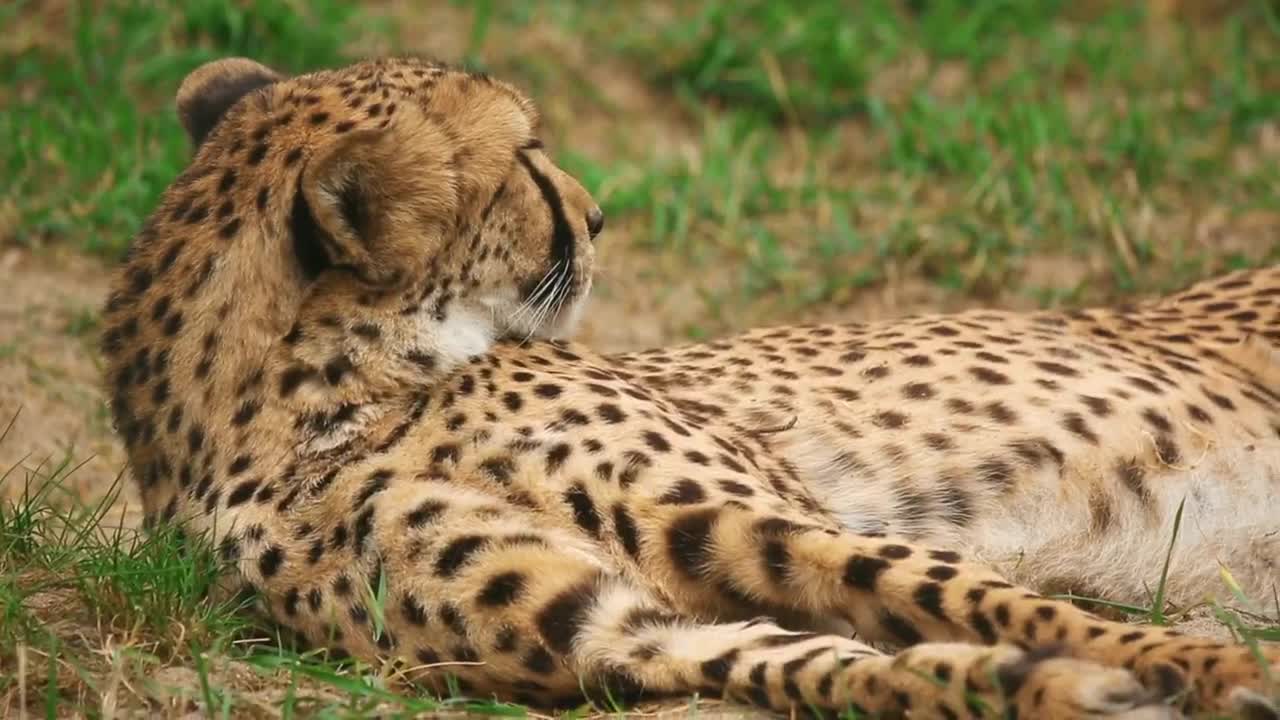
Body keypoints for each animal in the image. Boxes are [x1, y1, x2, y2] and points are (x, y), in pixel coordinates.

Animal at [97, 55, 1280, 719]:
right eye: (526, 158)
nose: (600, 213)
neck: (327, 403)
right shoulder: (613, 630)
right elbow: (825, 662)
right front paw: (1043, 686)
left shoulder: (762, 517)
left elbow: (981, 594)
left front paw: (1198, 668)